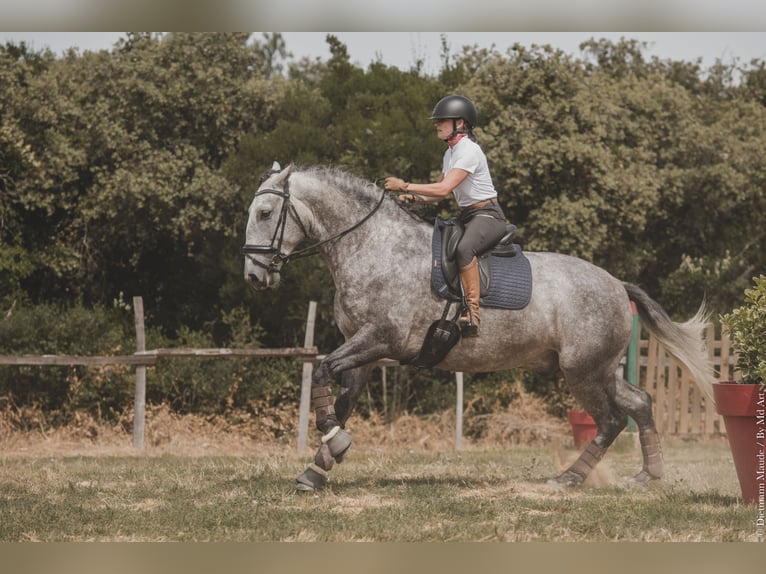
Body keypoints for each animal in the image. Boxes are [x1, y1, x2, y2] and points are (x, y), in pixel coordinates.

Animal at [243, 163, 716, 496]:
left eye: (265, 213)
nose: (253, 277)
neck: (373, 247)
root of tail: (618, 285)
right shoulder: (362, 350)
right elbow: (339, 401)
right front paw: (317, 468)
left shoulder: (380, 339)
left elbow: (322, 372)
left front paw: (335, 448)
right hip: (598, 369)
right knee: (639, 403)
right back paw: (647, 475)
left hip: (583, 371)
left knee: (612, 419)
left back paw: (569, 478)